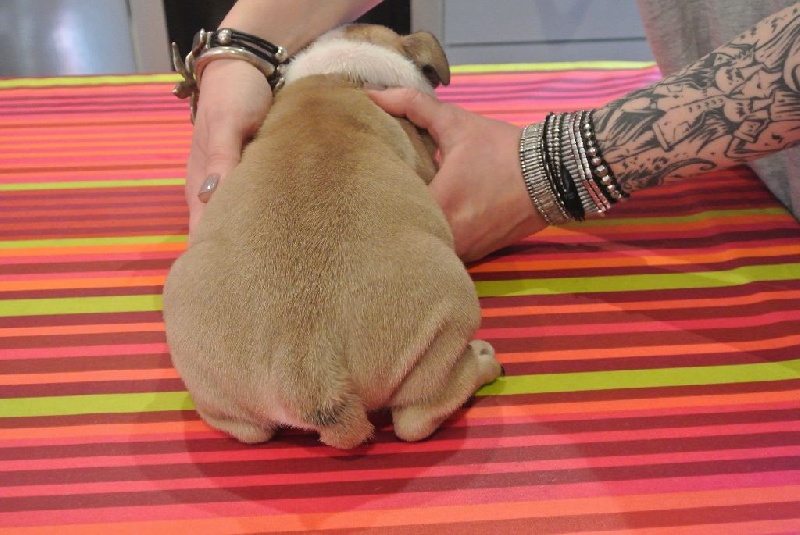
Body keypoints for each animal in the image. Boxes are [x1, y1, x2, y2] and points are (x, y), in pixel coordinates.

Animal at [162, 24, 503, 449]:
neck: (341, 73)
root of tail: (308, 374)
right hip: (449, 311)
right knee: (418, 417)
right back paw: (482, 362)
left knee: (247, 428)